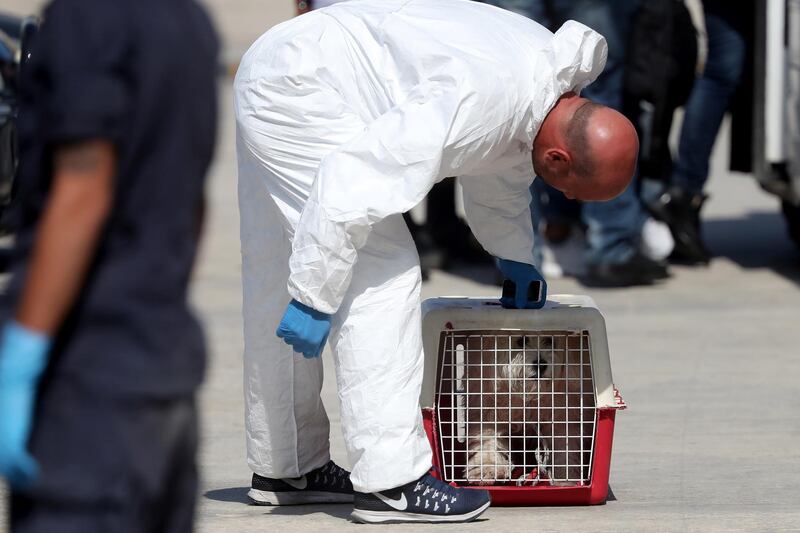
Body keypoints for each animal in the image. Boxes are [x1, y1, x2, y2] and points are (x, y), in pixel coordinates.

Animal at [462, 332, 592, 486]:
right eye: (521, 341)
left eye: (550, 340)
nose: (540, 364)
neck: (529, 395)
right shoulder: (487, 408)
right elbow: (487, 440)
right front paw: (486, 469)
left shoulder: (563, 416)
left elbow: (565, 447)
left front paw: (565, 479)